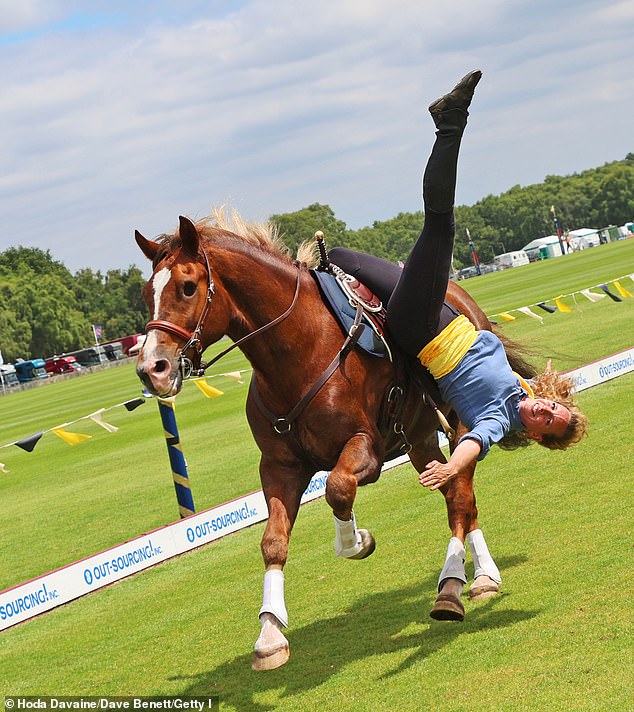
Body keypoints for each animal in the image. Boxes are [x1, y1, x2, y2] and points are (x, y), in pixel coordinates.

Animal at [135, 214, 512, 672]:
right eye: (147, 294)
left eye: (188, 286)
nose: (151, 368)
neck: (296, 353)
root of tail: (463, 298)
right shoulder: (279, 468)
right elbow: (273, 542)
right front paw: (269, 634)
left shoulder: (366, 449)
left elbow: (337, 488)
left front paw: (354, 541)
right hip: (422, 442)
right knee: (454, 491)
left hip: (460, 422)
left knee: (462, 497)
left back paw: (470, 581)